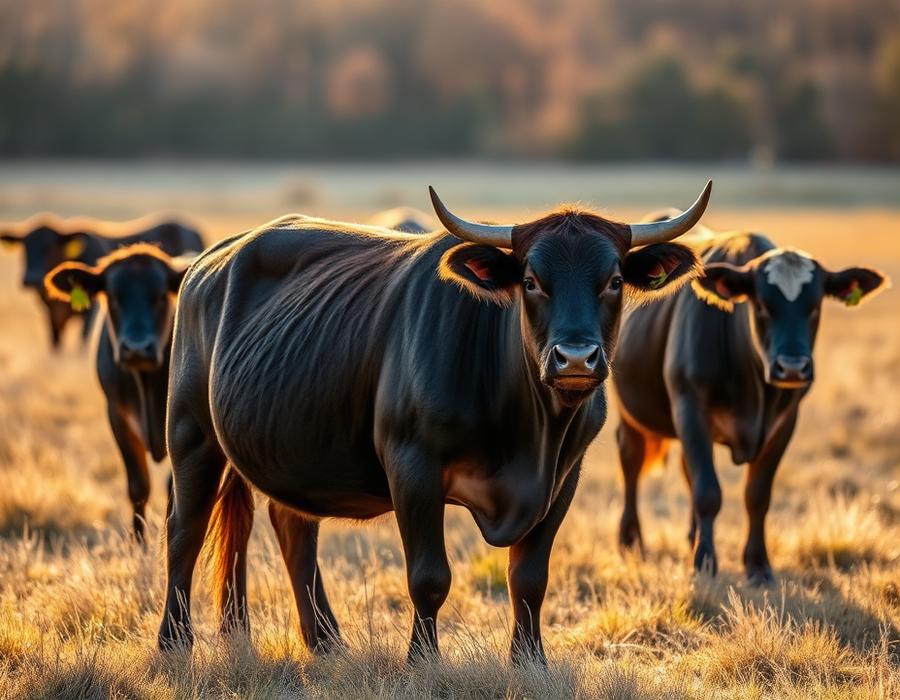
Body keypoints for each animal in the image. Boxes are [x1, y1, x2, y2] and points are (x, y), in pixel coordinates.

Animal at [1, 216, 204, 349]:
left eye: (49, 247)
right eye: (25, 247)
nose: (31, 278)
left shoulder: (90, 313)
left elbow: (82, 342)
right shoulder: (49, 313)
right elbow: (56, 343)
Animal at [45, 245, 192, 541]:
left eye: (161, 296)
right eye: (113, 296)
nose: (136, 348)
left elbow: (173, 487)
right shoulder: (118, 416)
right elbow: (138, 487)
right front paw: (138, 544)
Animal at [156, 182, 712, 663]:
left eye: (614, 281)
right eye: (531, 281)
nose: (575, 358)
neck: (529, 432)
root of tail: (209, 263)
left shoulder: (564, 477)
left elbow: (530, 578)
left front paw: (529, 660)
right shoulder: (413, 467)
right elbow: (429, 577)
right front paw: (422, 659)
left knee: (293, 529)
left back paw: (326, 642)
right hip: (191, 433)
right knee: (185, 529)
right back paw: (174, 641)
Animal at [612, 226, 889, 585]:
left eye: (815, 306)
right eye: (762, 306)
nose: (792, 367)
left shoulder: (784, 422)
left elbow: (757, 496)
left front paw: (758, 566)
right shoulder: (691, 410)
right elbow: (708, 492)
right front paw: (704, 562)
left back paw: (691, 538)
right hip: (631, 416)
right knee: (631, 463)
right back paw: (631, 541)